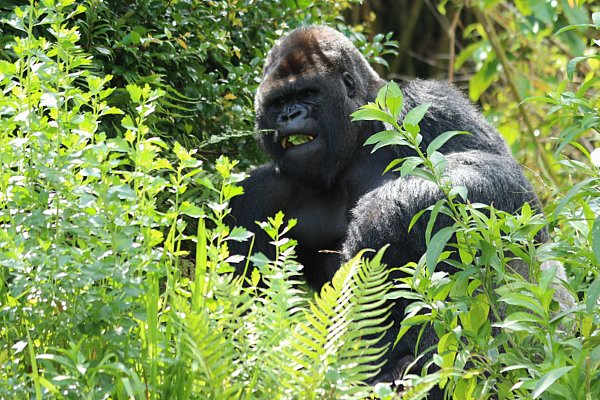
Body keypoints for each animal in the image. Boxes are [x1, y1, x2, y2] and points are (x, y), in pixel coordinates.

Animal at [227, 25, 564, 394]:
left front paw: (380, 213)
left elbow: (509, 193)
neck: (354, 142)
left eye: (307, 93)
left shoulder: (428, 103)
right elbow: (240, 313)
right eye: (278, 103)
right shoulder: (256, 197)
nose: (289, 116)